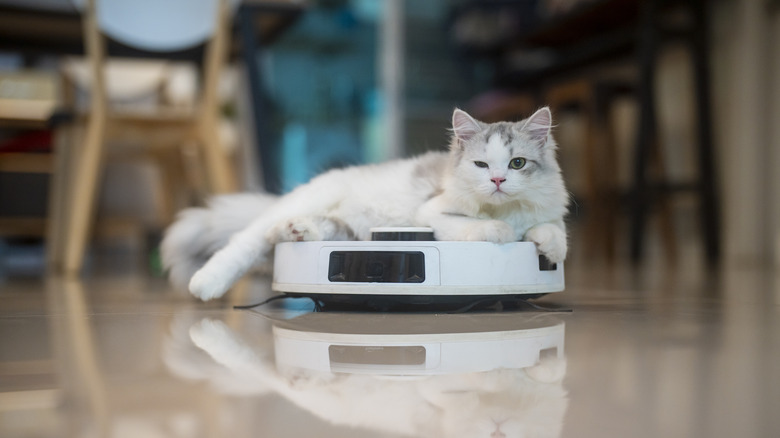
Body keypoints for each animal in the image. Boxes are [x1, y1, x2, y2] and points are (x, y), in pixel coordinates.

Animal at [163, 108, 568, 302]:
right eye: (482, 165)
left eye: (517, 163)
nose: (498, 181)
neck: (503, 209)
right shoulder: (433, 213)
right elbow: (480, 227)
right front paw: (501, 232)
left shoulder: (547, 213)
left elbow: (553, 230)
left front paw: (548, 249)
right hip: (311, 199)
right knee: (246, 242)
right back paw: (206, 284)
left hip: (345, 228)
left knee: (291, 232)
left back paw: (298, 231)